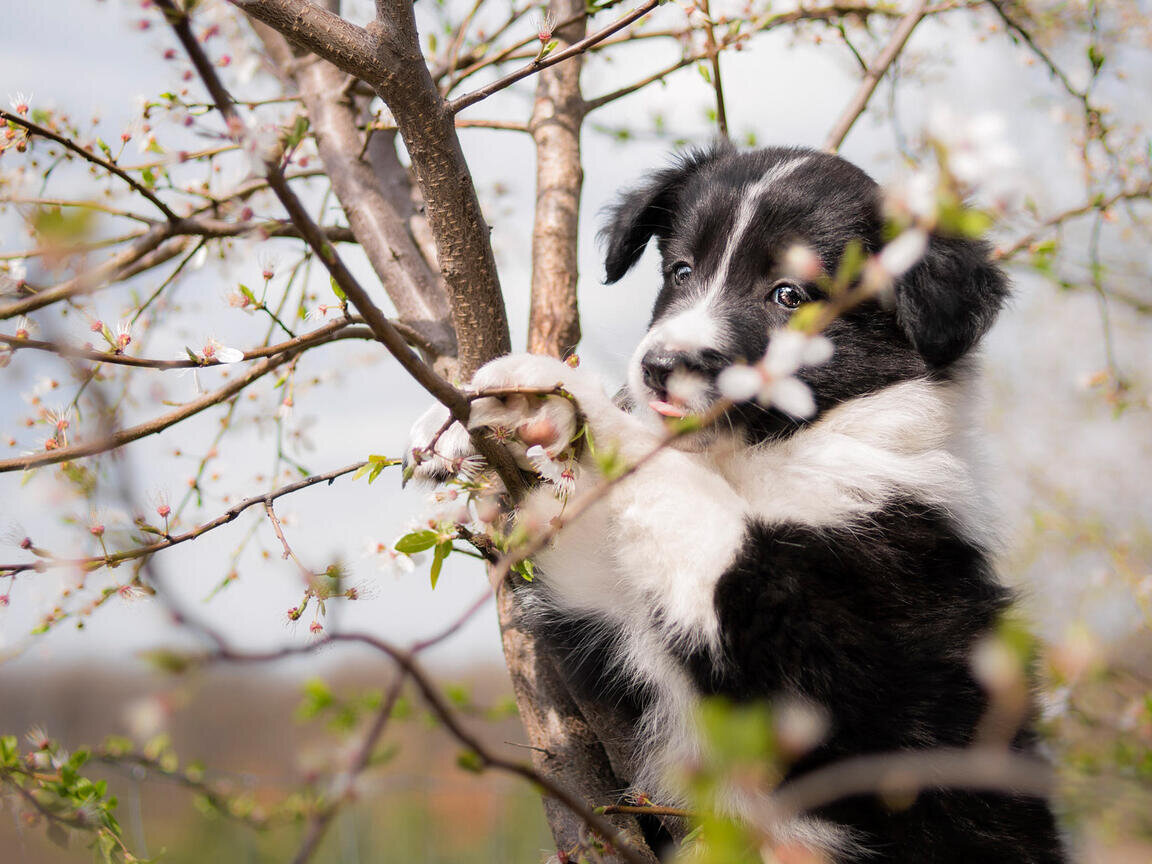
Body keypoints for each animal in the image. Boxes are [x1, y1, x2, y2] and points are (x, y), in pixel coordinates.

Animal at [410, 145, 1064, 861]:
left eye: (790, 294)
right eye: (680, 270)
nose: (660, 368)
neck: (756, 456)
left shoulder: (836, 651)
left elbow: (675, 480)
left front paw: (569, 394)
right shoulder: (614, 617)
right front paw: (508, 417)